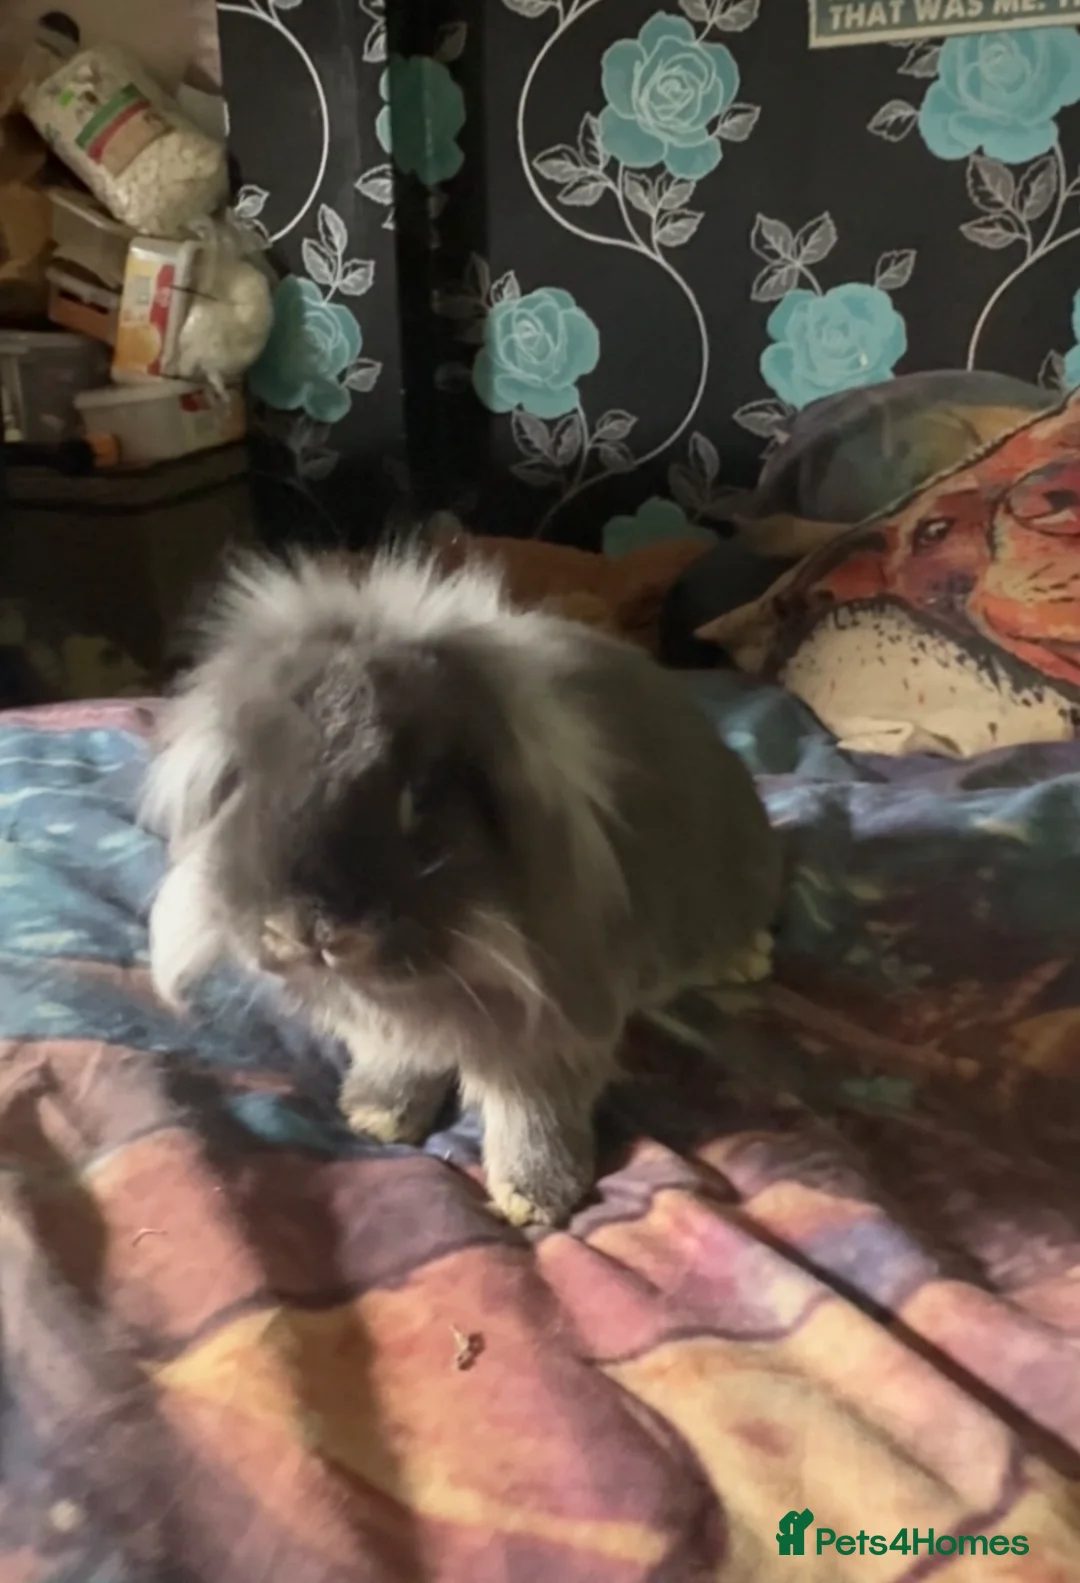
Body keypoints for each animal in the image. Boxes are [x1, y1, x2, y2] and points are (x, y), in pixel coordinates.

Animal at [142, 546, 781, 1226]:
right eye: (244, 781)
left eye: (421, 794)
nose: (306, 928)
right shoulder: (387, 1030)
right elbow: (400, 1062)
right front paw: (374, 1116)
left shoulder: (552, 1032)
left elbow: (532, 1110)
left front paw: (532, 1199)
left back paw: (748, 960)